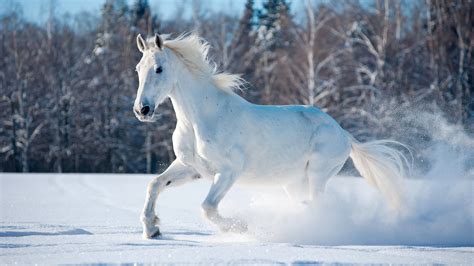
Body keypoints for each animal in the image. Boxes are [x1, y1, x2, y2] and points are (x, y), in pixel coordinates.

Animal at [132, 33, 408, 239]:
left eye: (159, 69)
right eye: (138, 69)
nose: (142, 110)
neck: (201, 119)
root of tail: (343, 134)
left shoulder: (229, 171)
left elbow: (208, 208)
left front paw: (241, 227)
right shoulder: (191, 167)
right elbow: (155, 184)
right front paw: (152, 229)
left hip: (317, 175)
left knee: (319, 205)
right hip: (293, 183)